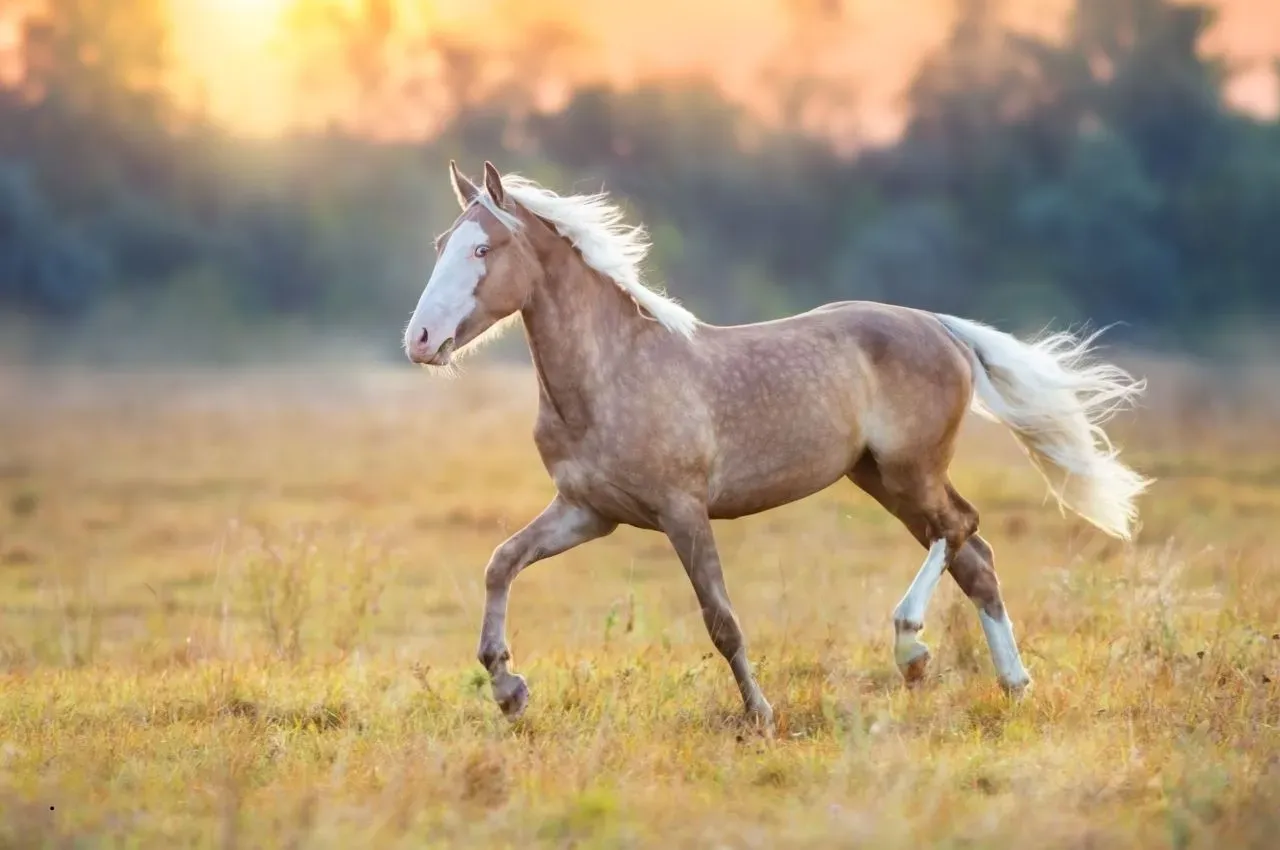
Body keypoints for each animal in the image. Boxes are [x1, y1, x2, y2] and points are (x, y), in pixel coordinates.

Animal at [403, 160, 1151, 731]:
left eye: (482, 250)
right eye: (439, 242)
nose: (420, 340)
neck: (611, 372)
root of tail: (939, 326)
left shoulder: (681, 510)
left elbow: (721, 620)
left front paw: (760, 715)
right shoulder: (589, 512)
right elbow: (501, 563)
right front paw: (508, 689)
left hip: (910, 471)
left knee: (961, 528)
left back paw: (912, 648)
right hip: (879, 478)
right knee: (978, 559)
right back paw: (1013, 684)